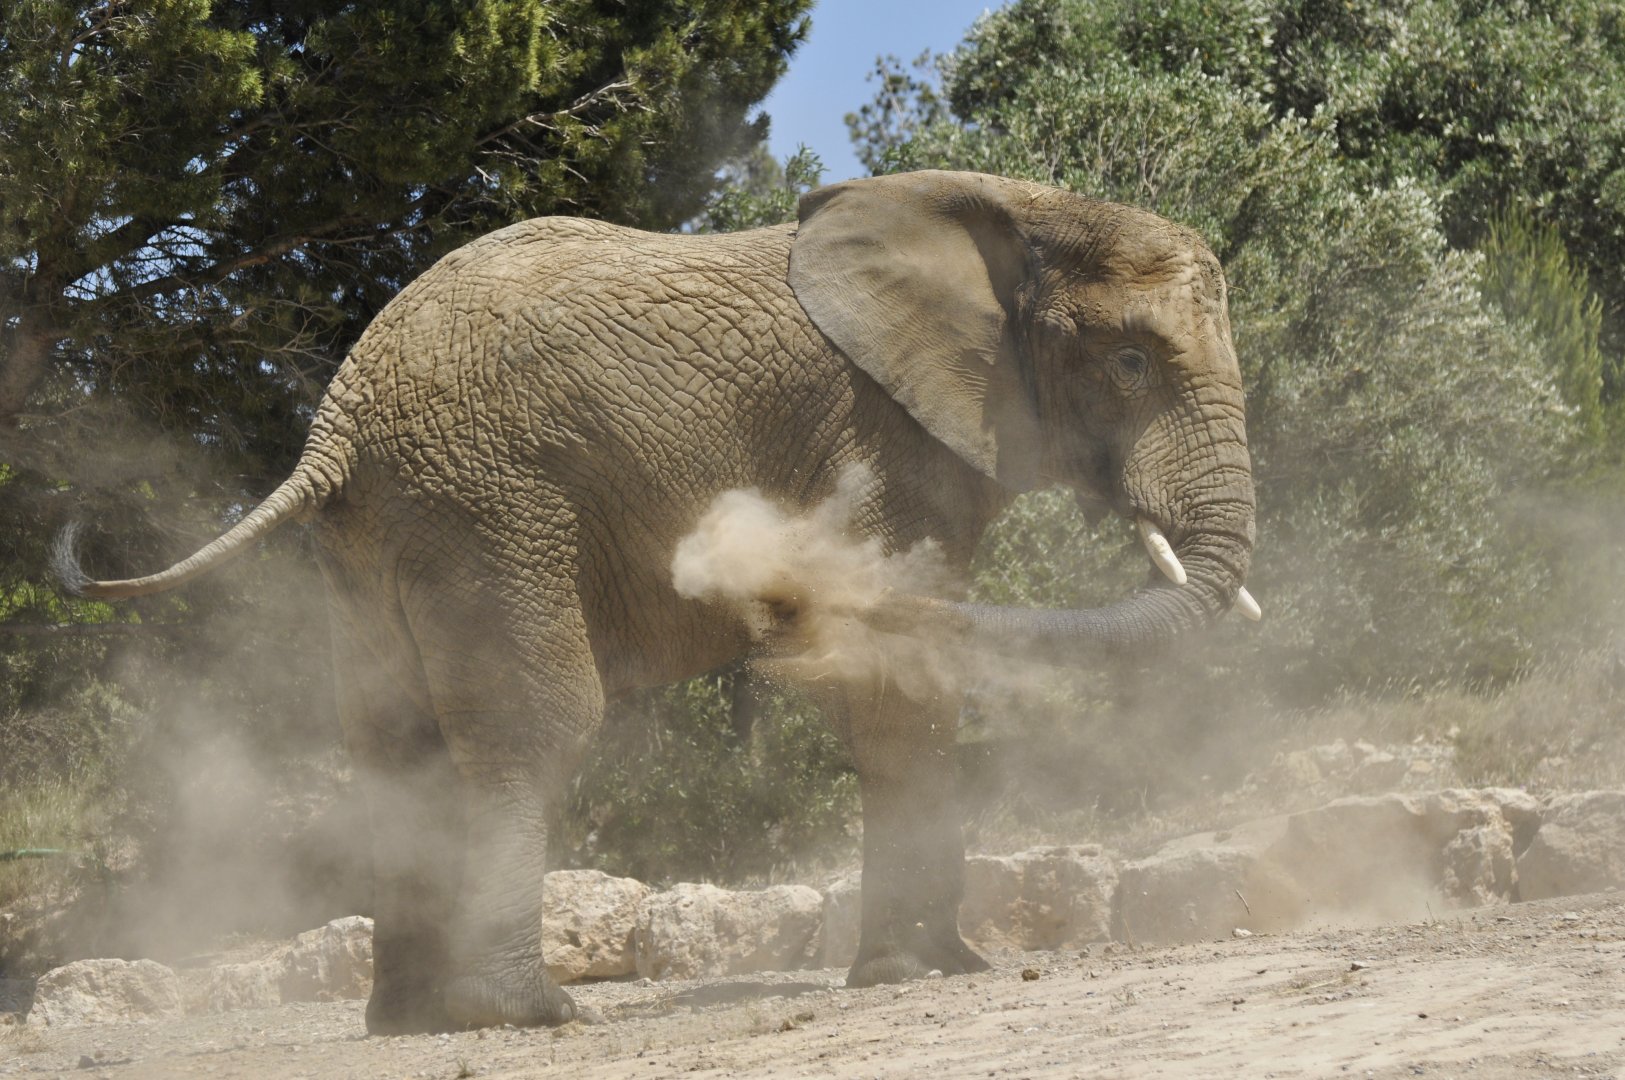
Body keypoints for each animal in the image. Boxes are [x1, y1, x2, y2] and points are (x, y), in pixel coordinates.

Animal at [58, 170, 1257, 1033]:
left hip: (375, 537)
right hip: (492, 503)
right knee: (533, 727)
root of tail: (337, 420)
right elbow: (897, 688)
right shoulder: (886, 442)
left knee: (393, 747)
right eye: (1131, 363)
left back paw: (405, 1024)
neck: (1020, 208)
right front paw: (921, 971)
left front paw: (946, 963)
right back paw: (528, 1013)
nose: (768, 600)